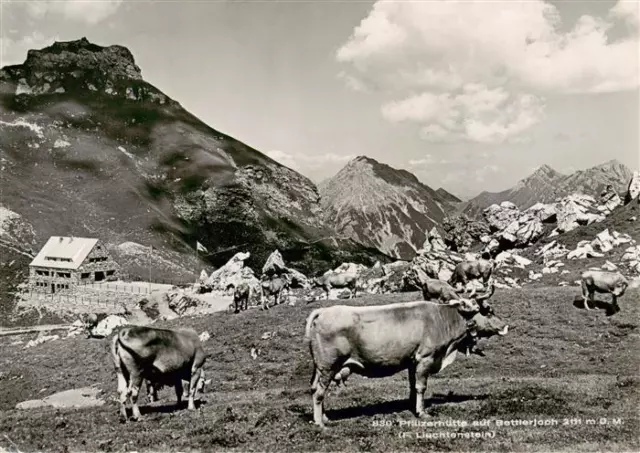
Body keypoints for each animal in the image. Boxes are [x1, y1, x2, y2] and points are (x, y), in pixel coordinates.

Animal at [302, 294, 508, 426]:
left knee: (314, 387)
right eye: (489, 311)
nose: (506, 326)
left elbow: (412, 385)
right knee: (319, 392)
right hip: (328, 365)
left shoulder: (412, 361)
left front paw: (412, 406)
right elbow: (421, 386)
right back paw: (320, 423)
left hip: (319, 367)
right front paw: (422, 413)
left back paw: (325, 417)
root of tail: (323, 311)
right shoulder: (425, 358)